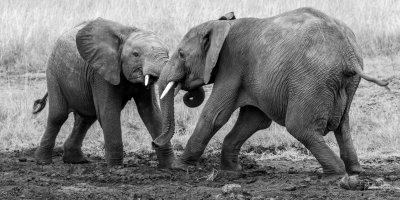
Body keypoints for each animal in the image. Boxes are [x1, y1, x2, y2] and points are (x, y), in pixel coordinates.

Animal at [34, 18, 177, 166]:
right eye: (136, 54)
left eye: (168, 53)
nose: (153, 144)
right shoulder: (100, 74)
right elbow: (109, 111)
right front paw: (115, 166)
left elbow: (151, 112)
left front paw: (171, 165)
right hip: (53, 72)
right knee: (58, 115)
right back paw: (42, 161)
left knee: (86, 118)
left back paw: (77, 161)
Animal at [152, 7, 390, 177]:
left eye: (181, 54)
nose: (155, 143)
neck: (221, 24)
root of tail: (347, 52)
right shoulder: (253, 77)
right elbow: (253, 120)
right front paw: (232, 171)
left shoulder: (232, 65)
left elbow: (215, 115)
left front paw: (179, 167)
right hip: (347, 82)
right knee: (343, 126)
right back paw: (355, 171)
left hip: (310, 80)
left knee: (300, 127)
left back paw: (335, 174)